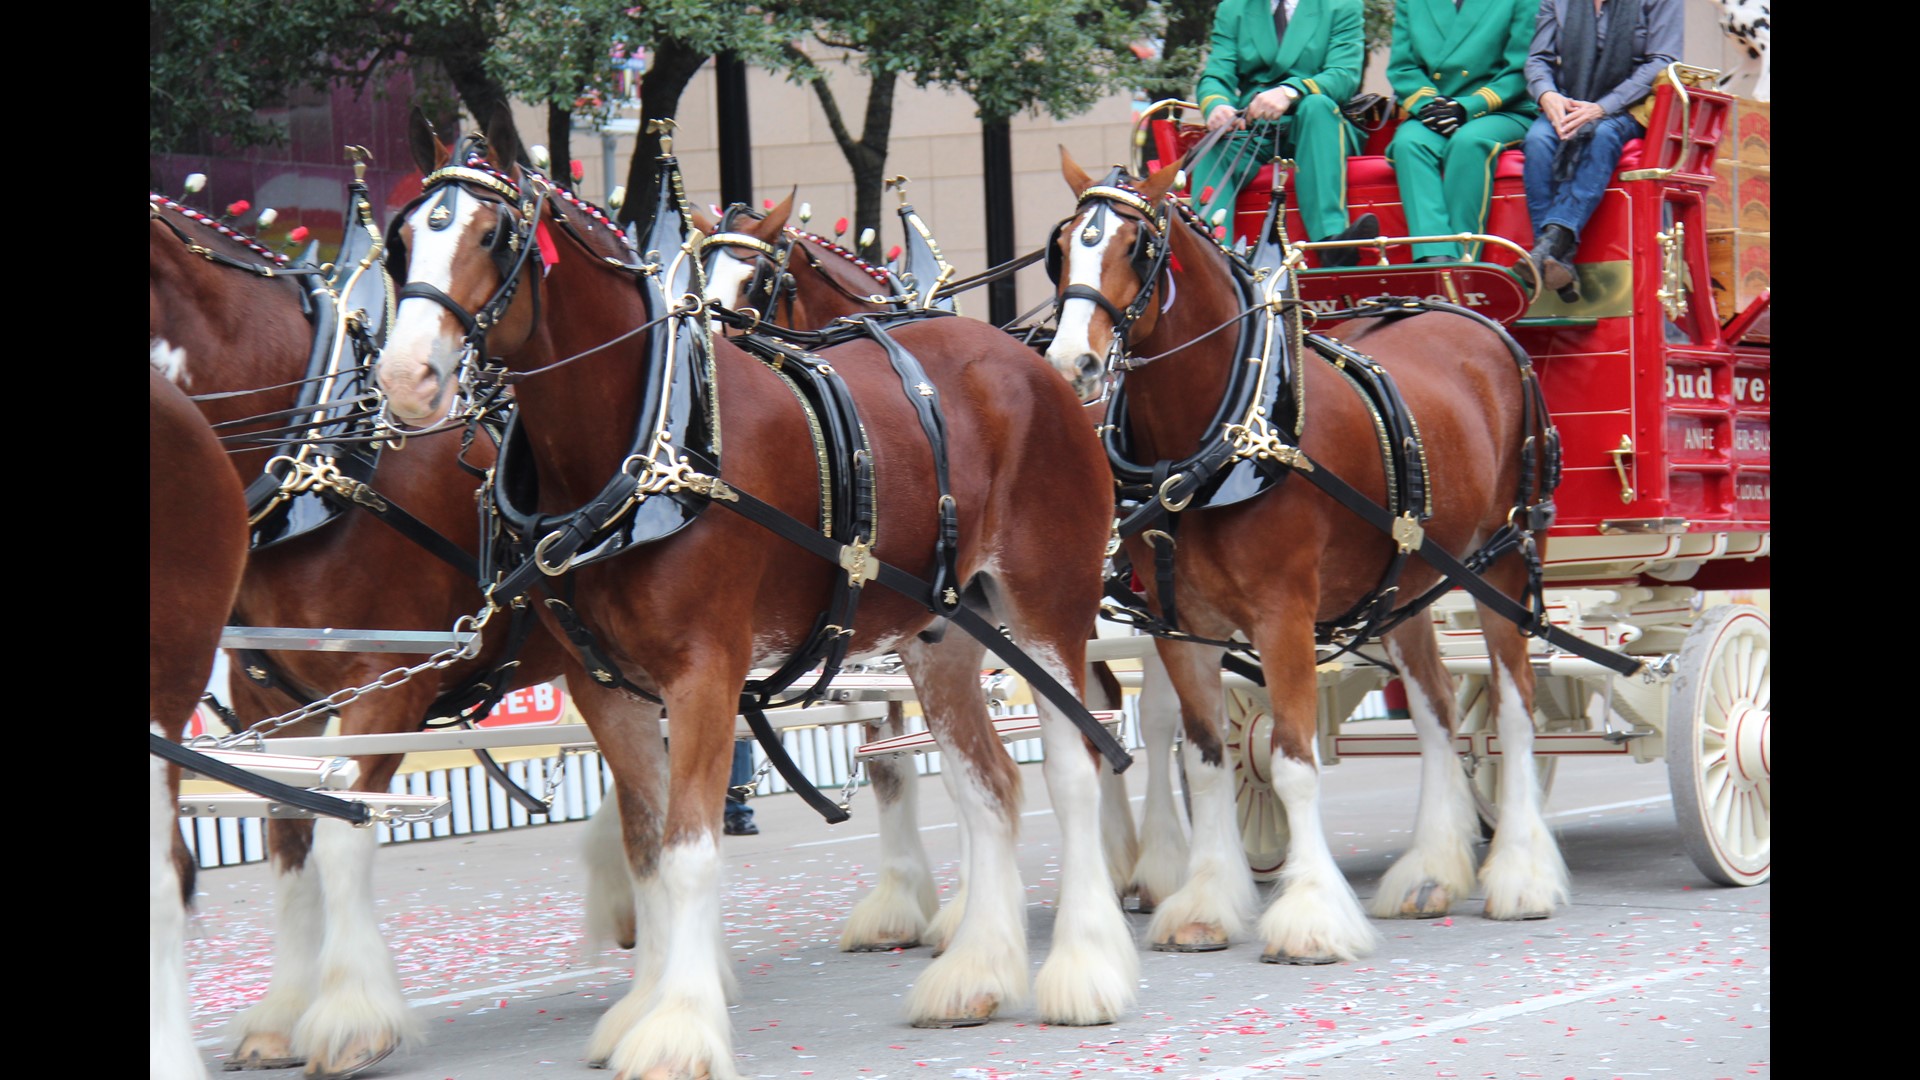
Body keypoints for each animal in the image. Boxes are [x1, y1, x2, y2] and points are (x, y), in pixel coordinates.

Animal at [149, 189, 645, 1068]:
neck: (325, 455)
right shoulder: (270, 697)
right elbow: (288, 835)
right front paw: (281, 1014)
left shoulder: (386, 685)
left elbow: (345, 831)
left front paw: (351, 1015)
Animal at [374, 113, 1121, 1068]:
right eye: (401, 241)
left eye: (492, 236)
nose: (405, 378)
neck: (649, 445)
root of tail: (1037, 364)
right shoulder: (605, 687)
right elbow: (647, 849)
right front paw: (642, 1007)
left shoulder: (705, 675)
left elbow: (692, 847)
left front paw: (680, 1027)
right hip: (946, 633)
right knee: (987, 786)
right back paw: (976, 975)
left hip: (1046, 609)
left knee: (1075, 765)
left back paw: (1086, 970)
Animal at [1044, 151, 1566, 957]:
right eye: (1065, 246)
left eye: (1137, 248)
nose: (1073, 363)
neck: (1228, 433)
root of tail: (1480, 323)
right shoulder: (1180, 626)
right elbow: (1205, 762)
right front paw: (1205, 903)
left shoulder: (1282, 615)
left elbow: (1293, 763)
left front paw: (1312, 915)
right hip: (1407, 579)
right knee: (1437, 707)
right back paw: (1432, 869)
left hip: (1504, 558)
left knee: (1513, 705)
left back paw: (1521, 873)